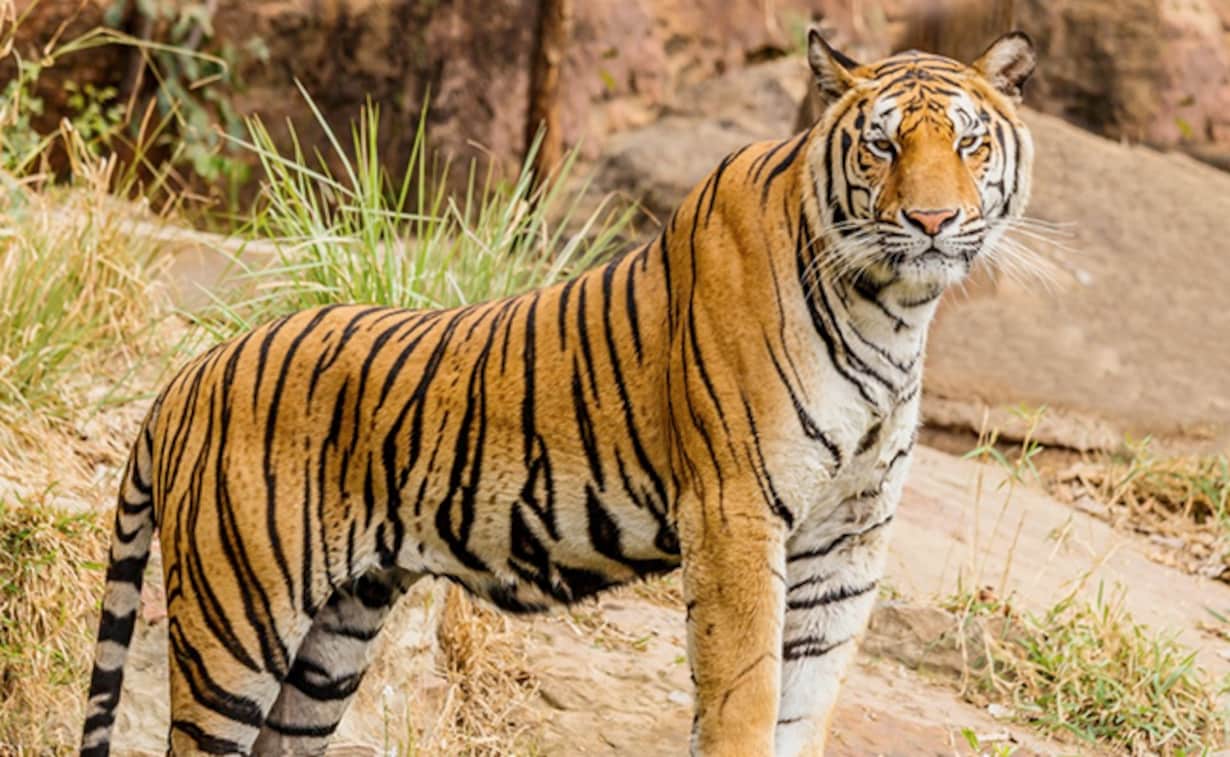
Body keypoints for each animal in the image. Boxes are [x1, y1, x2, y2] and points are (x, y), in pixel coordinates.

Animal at [81, 28, 1036, 757]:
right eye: (883, 145)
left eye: (968, 143)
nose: (932, 222)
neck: (893, 310)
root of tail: (188, 375)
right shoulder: (735, 514)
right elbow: (746, 697)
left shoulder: (847, 541)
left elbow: (805, 705)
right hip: (236, 622)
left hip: (332, 641)